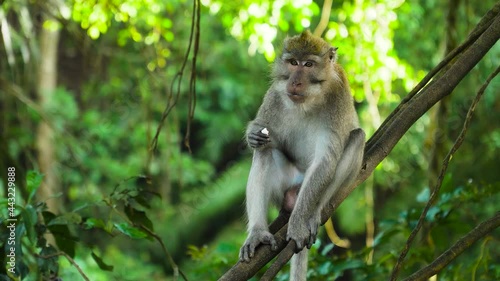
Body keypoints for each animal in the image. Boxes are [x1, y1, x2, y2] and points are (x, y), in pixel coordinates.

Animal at [238, 30, 364, 280]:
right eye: (293, 63)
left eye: (308, 64)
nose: (295, 81)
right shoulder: (275, 94)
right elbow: (264, 131)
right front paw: (253, 135)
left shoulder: (337, 99)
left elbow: (326, 160)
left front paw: (297, 226)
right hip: (284, 185)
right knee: (265, 151)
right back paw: (258, 233)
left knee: (357, 138)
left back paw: (313, 213)